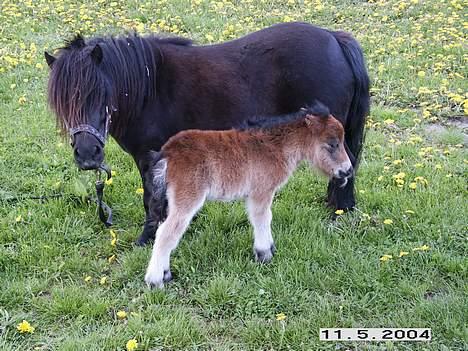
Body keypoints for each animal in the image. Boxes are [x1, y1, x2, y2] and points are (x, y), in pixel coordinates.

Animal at [45, 22, 372, 246]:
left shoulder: (149, 156)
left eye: (100, 93)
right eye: (63, 102)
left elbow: (152, 197)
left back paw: (338, 210)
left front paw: (148, 237)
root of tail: (334, 38)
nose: (87, 156)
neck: (149, 88)